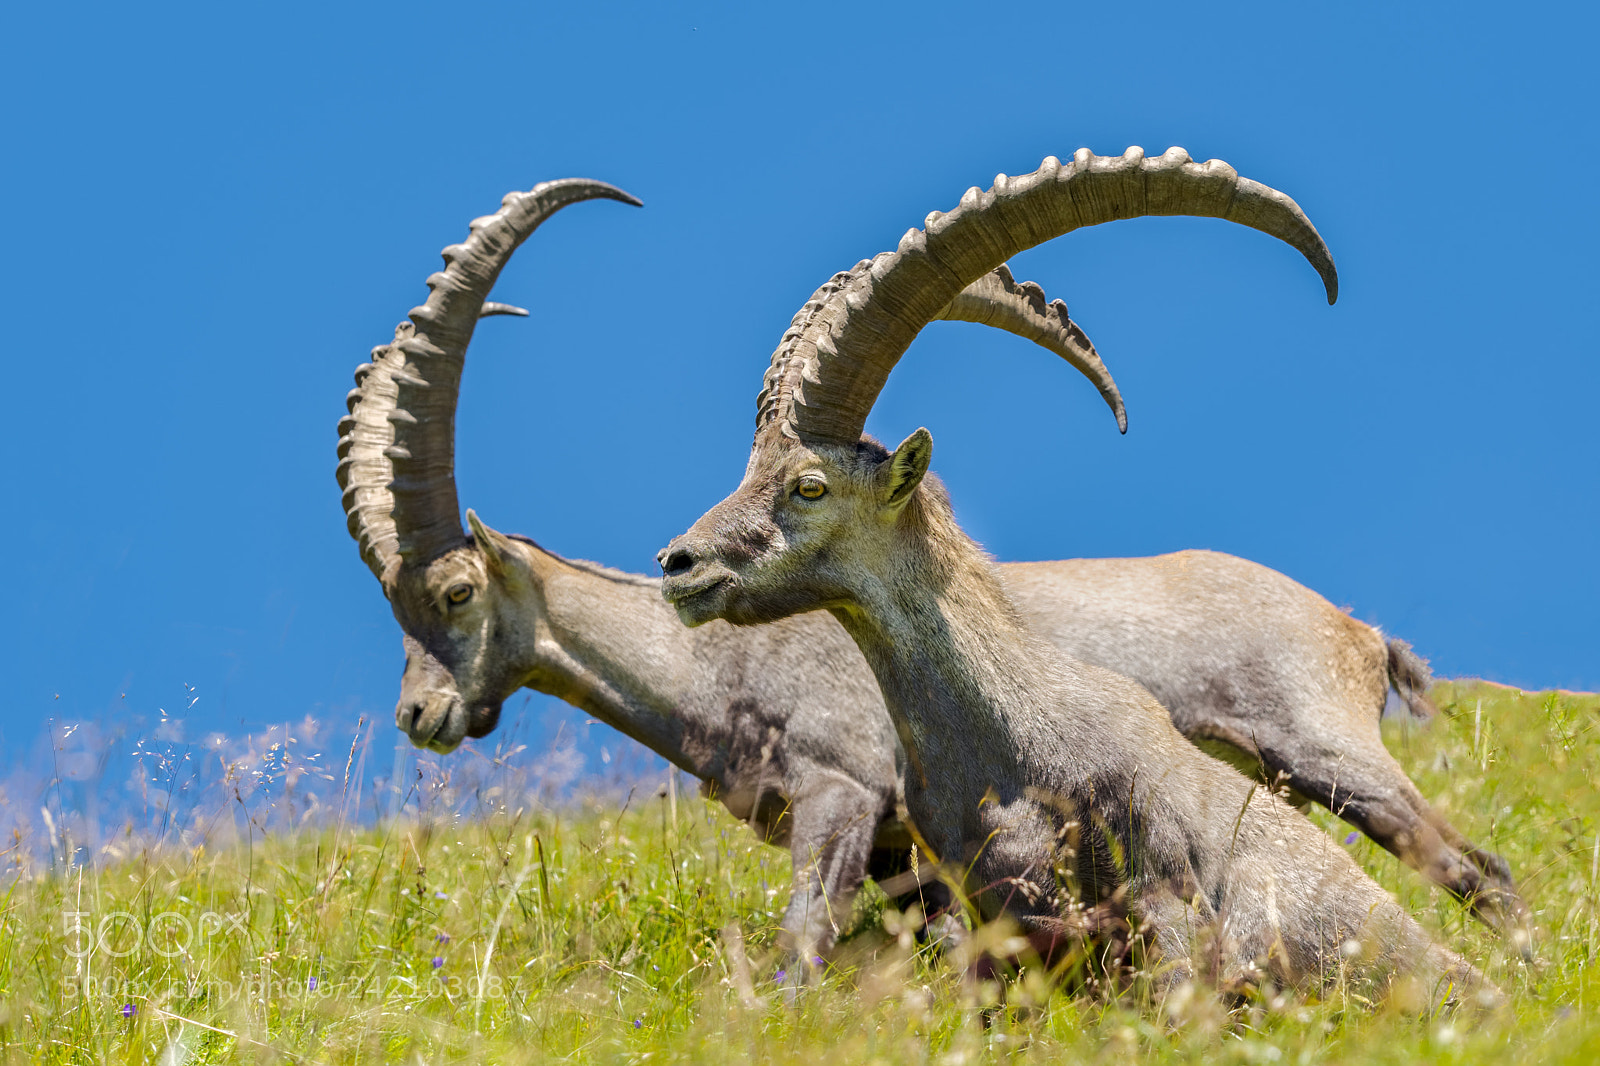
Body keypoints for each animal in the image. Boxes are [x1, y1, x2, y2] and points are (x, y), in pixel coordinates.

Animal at [658, 147, 1501, 1004]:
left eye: (809, 486)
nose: (678, 562)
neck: (1009, 737)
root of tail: (1368, 638)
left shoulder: (1164, 889)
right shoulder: (980, 914)